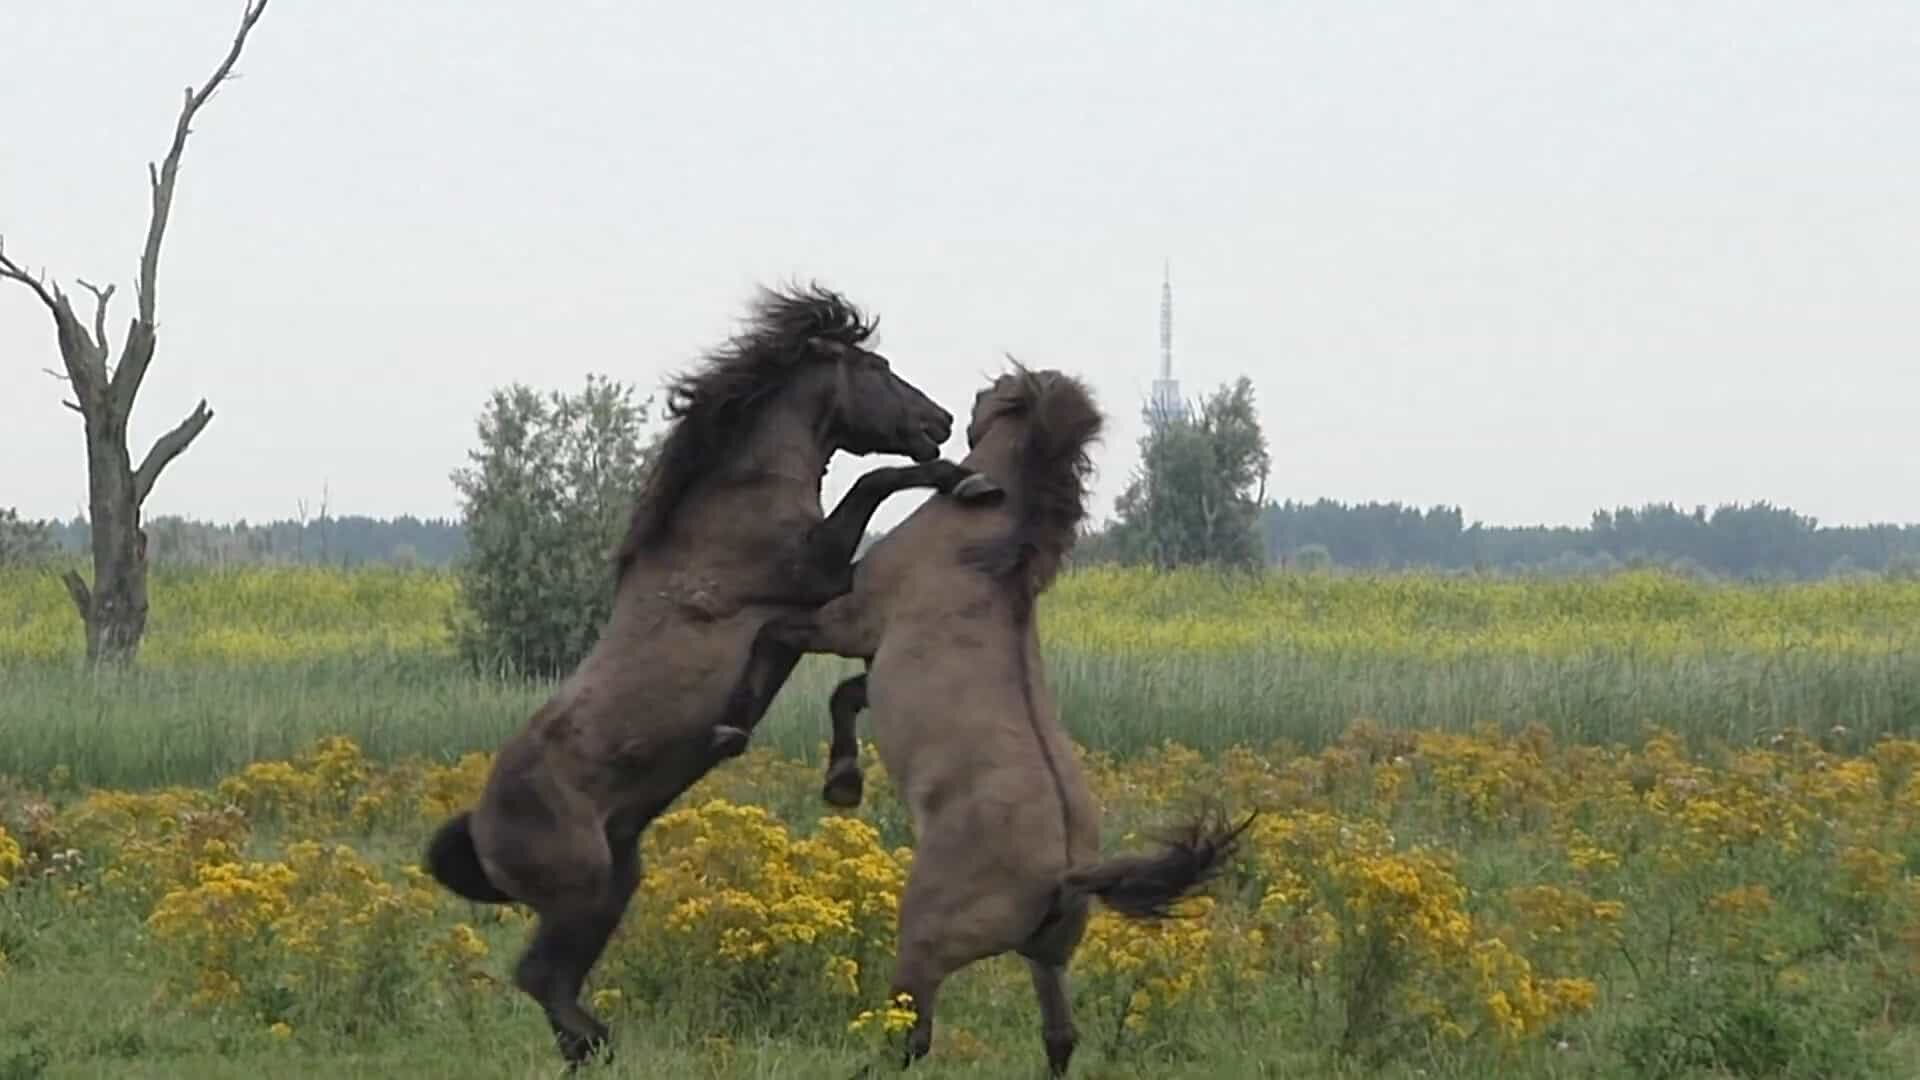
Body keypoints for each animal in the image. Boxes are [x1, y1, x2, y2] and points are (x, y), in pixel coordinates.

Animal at [426, 284, 998, 1060]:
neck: (735, 499)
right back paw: (598, 1042)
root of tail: (480, 832)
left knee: (554, 981)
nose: (939, 422)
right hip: (582, 889)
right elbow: (875, 480)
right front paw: (964, 479)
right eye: (875, 369)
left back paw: (592, 1046)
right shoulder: (819, 573)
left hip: (615, 882)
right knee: (539, 975)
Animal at [725, 365, 1251, 1068]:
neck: (980, 543)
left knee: (910, 1034)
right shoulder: (873, 654)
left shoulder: (849, 621)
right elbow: (846, 695)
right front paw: (843, 781)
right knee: (1059, 1037)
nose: (948, 420)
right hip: (1048, 956)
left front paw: (740, 726)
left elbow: (777, 637)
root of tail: (1065, 873)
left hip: (926, 943)